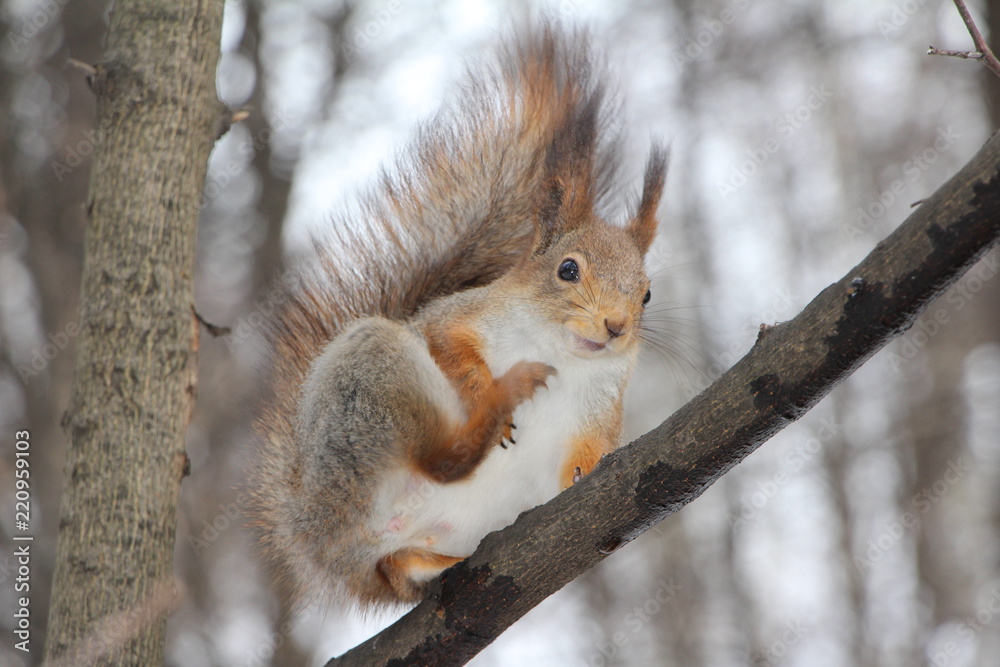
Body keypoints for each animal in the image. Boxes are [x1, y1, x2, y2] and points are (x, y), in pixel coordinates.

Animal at [248, 23, 667, 608]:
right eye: (567, 269)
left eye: (647, 294)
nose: (616, 327)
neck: (560, 352)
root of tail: (313, 539)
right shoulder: (457, 317)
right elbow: (447, 343)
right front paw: (483, 386)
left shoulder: (602, 404)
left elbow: (590, 448)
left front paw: (587, 472)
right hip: (371, 375)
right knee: (441, 461)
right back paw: (496, 408)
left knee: (399, 568)